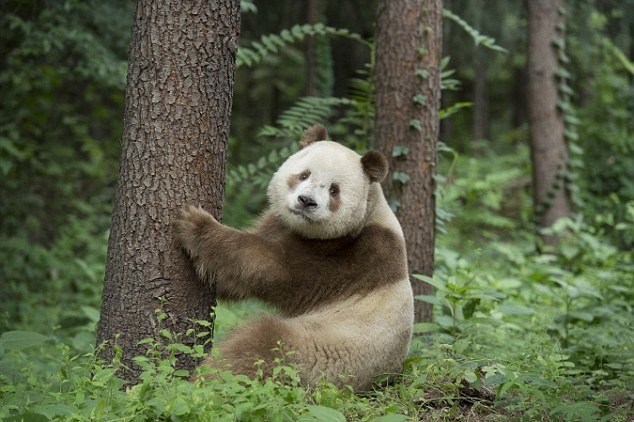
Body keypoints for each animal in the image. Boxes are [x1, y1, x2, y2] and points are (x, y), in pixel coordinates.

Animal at [174, 123, 410, 390]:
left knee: (260, 346)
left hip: (325, 353)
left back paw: (204, 381)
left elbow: (272, 269)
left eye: (334, 190)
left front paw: (196, 224)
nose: (306, 201)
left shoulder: (353, 256)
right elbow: (235, 281)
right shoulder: (279, 223)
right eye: (304, 175)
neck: (371, 211)